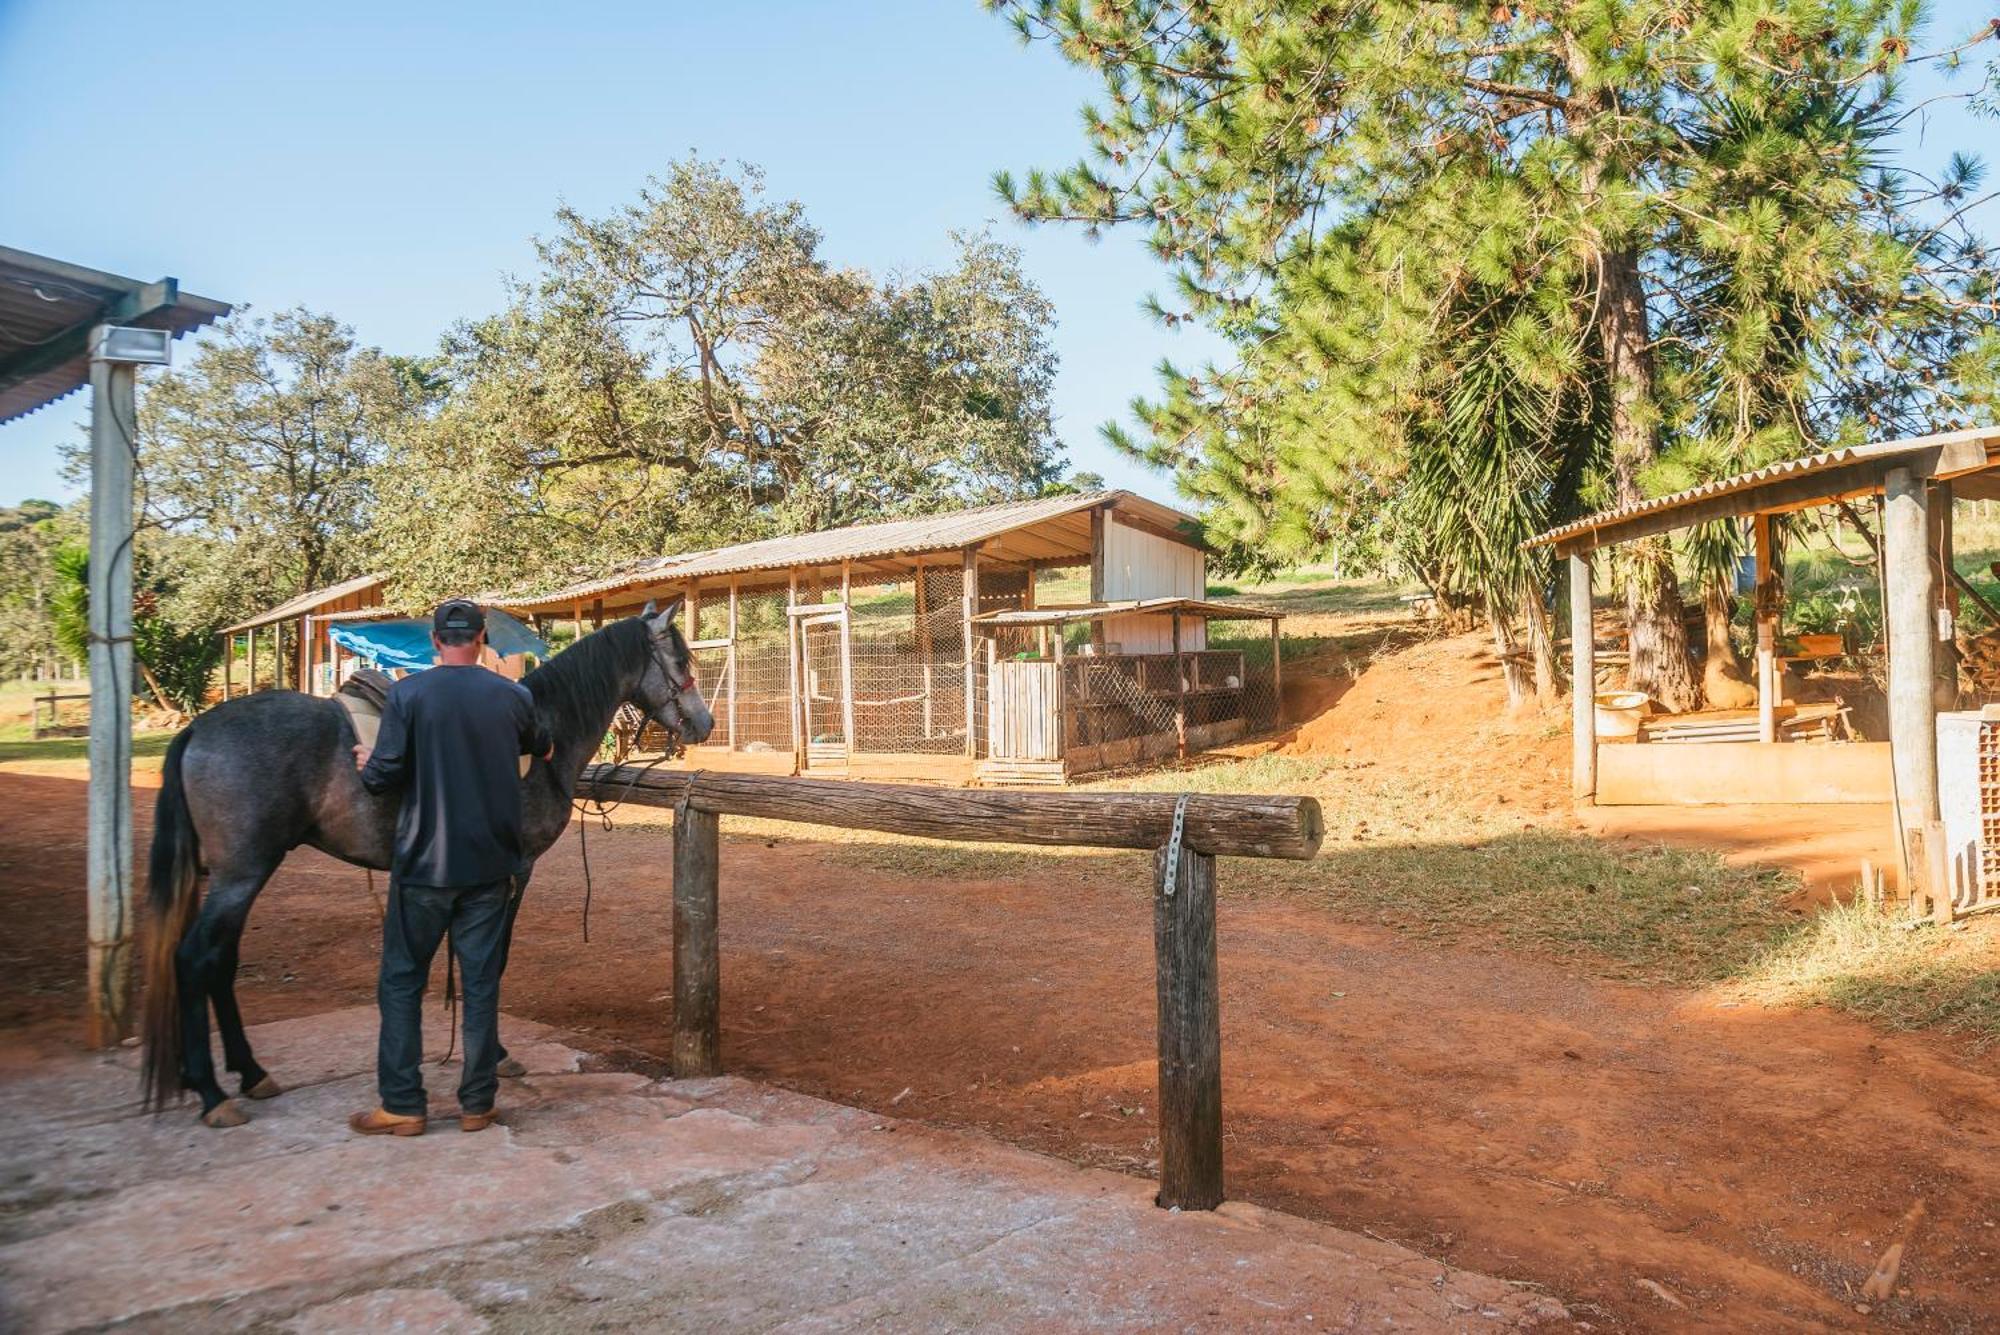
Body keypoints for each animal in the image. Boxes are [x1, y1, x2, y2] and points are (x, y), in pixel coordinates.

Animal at [139, 603, 712, 1127]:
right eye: (680, 658)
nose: (704, 722)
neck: (546, 731)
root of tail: (197, 731)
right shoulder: (514, 869)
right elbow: (492, 962)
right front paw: (496, 1056)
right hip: (242, 875)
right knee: (195, 959)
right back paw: (213, 1093)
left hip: (240, 876)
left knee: (220, 961)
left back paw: (249, 1073)